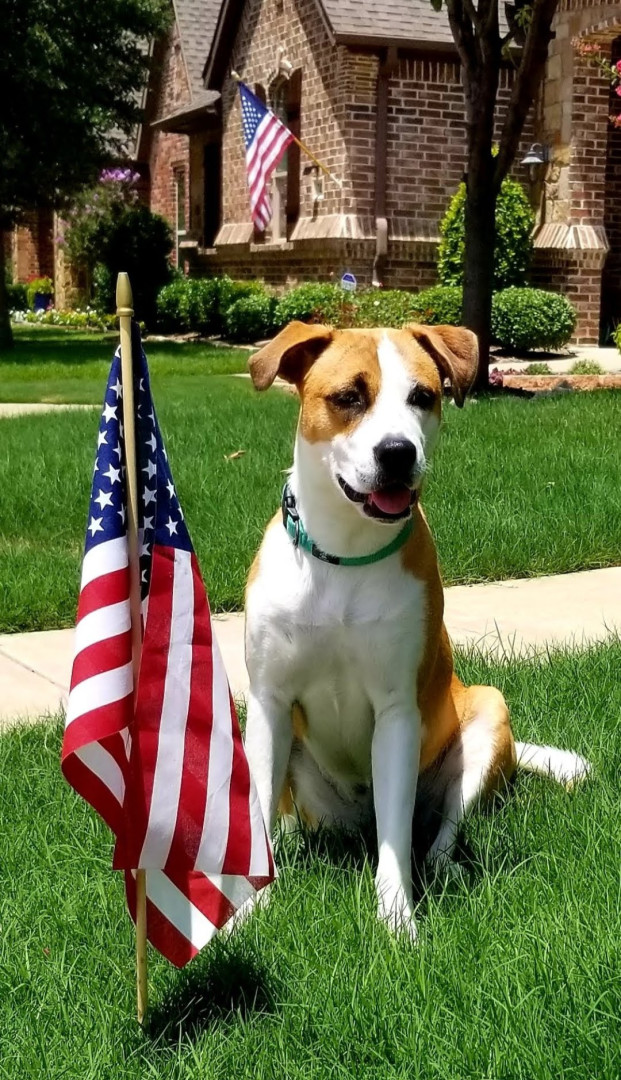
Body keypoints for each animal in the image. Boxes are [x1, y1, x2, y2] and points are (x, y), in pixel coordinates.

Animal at [244, 320, 590, 940]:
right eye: (348, 396)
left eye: (422, 396)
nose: (397, 452)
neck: (344, 556)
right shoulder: (267, 703)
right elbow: (259, 809)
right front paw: (244, 912)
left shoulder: (397, 713)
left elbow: (396, 835)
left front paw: (397, 918)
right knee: (286, 813)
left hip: (487, 718)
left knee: (442, 827)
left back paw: (444, 862)